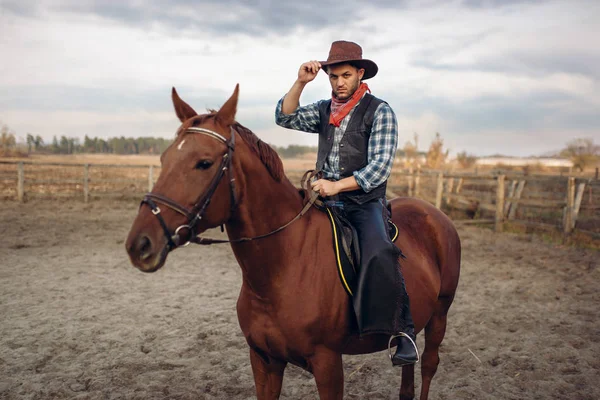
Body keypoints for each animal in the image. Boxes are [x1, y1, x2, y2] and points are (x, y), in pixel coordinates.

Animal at [125, 85, 460, 400]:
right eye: (164, 158)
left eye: (204, 163)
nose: (139, 244)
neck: (282, 267)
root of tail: (434, 214)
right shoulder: (265, 361)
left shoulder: (328, 365)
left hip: (439, 315)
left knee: (428, 365)